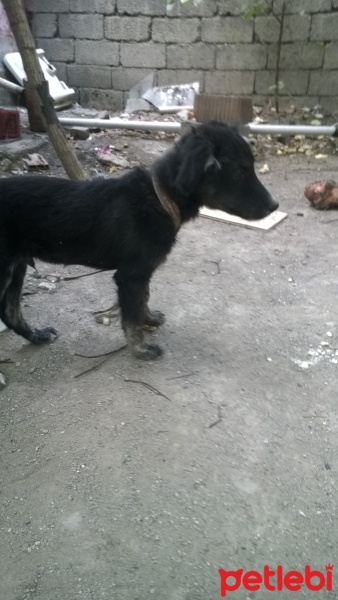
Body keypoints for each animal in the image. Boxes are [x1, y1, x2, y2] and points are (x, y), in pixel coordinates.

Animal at [0, 119, 278, 358]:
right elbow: (131, 315)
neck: (159, 198)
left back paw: (36, 336)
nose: (275, 205)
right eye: (240, 172)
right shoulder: (129, 275)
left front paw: (149, 319)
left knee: (10, 312)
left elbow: (143, 298)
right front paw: (140, 348)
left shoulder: (142, 273)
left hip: (17, 266)